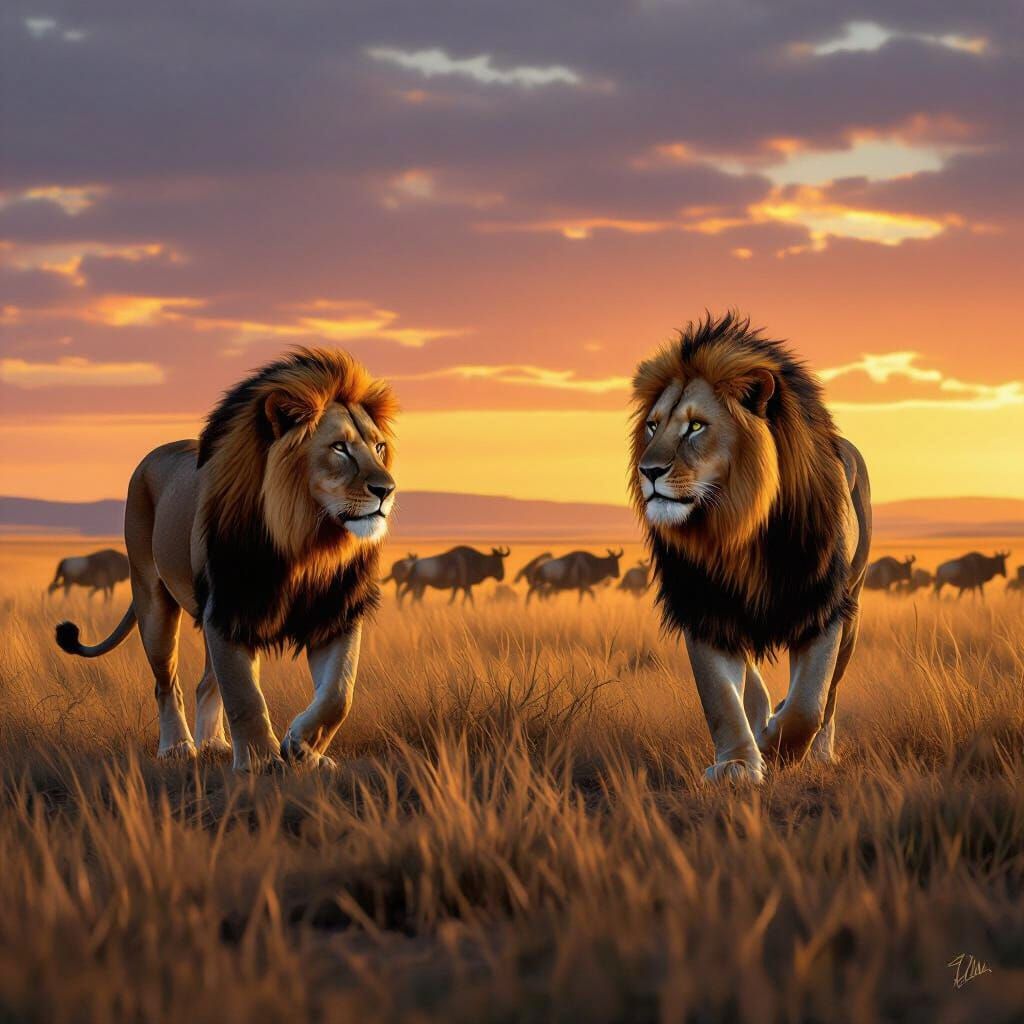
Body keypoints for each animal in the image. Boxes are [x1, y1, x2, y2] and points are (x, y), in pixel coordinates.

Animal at [55, 348, 398, 773]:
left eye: (379, 447)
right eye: (339, 448)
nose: (387, 489)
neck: (308, 542)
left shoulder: (334, 612)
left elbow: (338, 694)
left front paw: (303, 749)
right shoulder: (231, 608)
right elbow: (245, 697)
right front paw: (261, 762)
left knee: (206, 683)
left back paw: (215, 744)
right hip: (155, 602)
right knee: (166, 684)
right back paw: (178, 747)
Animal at [629, 312, 871, 784]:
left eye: (696, 426)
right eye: (653, 425)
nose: (648, 471)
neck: (740, 527)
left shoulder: (823, 604)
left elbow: (808, 704)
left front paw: (778, 750)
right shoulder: (705, 608)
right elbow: (720, 698)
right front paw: (739, 764)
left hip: (853, 603)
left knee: (830, 696)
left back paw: (817, 752)